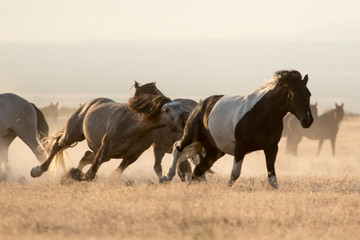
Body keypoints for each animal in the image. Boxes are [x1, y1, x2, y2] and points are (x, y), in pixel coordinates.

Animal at [160, 69, 312, 188]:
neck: (261, 114)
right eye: (294, 94)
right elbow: (235, 174)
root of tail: (201, 105)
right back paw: (167, 176)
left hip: (215, 151)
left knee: (198, 170)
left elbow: (272, 178)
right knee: (178, 147)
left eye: (309, 94)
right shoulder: (240, 148)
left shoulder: (271, 148)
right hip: (191, 135)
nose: (308, 120)